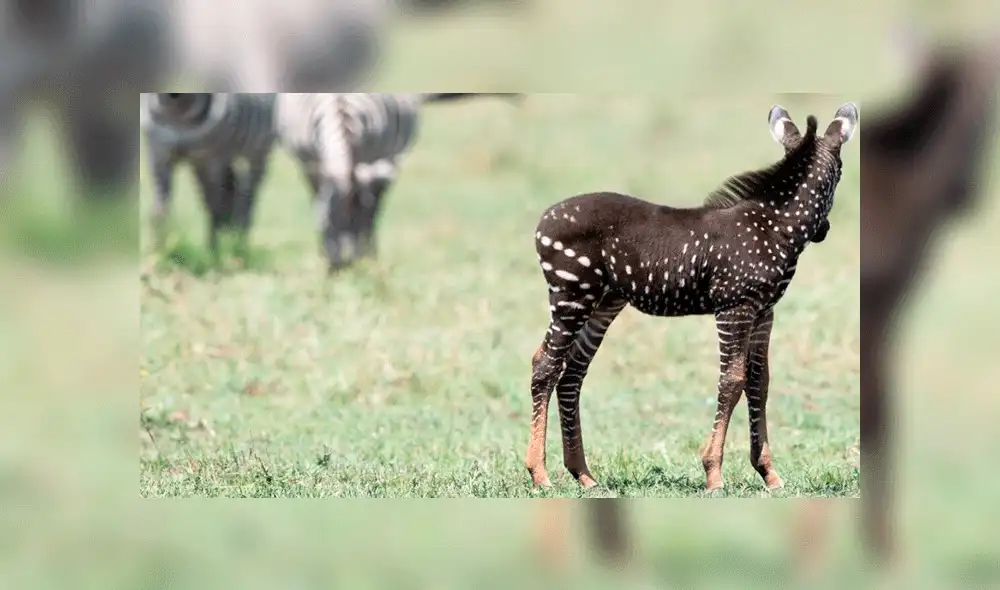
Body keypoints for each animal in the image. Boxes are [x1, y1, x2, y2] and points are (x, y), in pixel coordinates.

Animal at [141, 92, 277, 253]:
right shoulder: (159, 153)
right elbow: (160, 209)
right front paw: (158, 250)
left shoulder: (212, 160)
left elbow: (215, 208)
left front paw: (214, 252)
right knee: (233, 192)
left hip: (256, 154)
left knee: (248, 197)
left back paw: (239, 243)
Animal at [523, 103, 858, 492]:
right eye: (839, 176)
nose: (825, 232)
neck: (774, 226)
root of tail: (543, 219)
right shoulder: (734, 307)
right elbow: (732, 381)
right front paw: (713, 473)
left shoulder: (764, 311)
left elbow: (759, 381)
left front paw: (769, 473)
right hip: (571, 295)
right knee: (545, 365)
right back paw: (540, 474)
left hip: (603, 302)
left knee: (572, 372)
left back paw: (584, 474)